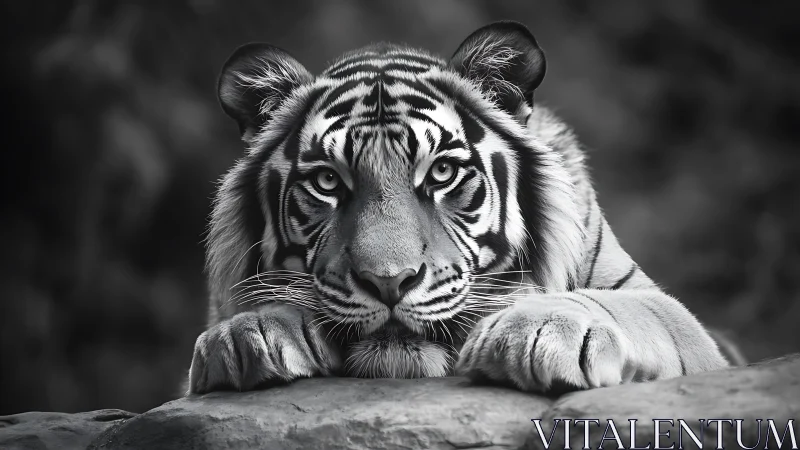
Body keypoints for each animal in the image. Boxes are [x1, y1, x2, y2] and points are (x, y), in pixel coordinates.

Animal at [187, 21, 730, 395]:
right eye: (327, 181)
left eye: (442, 173)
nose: (389, 282)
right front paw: (248, 334)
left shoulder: (675, 319)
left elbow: (625, 306)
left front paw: (539, 328)